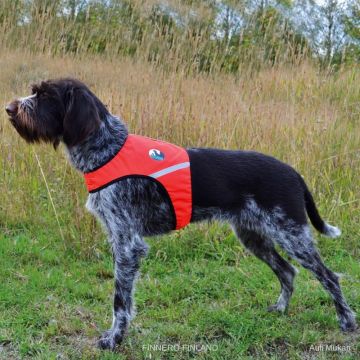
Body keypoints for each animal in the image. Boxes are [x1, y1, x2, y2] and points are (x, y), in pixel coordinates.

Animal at [6, 78, 358, 348]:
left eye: (45, 96)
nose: (9, 108)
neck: (108, 149)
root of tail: (293, 172)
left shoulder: (128, 244)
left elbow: (121, 301)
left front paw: (114, 339)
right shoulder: (118, 238)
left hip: (291, 234)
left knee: (329, 276)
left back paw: (346, 321)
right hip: (254, 237)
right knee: (287, 271)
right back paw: (281, 309)